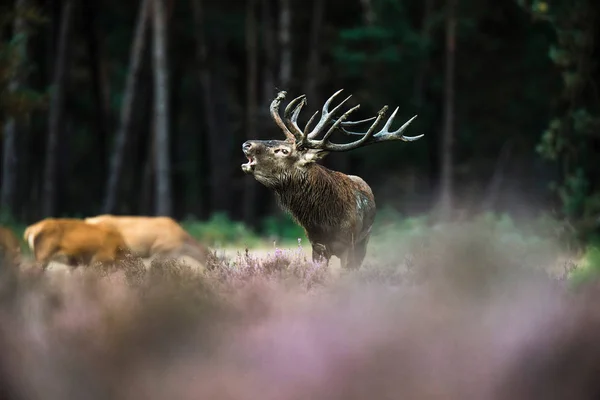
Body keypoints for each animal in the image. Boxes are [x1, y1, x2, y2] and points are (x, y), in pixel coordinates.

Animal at [241, 87, 424, 268]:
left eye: (284, 151)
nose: (246, 144)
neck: (326, 222)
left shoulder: (349, 246)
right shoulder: (317, 246)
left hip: (364, 240)